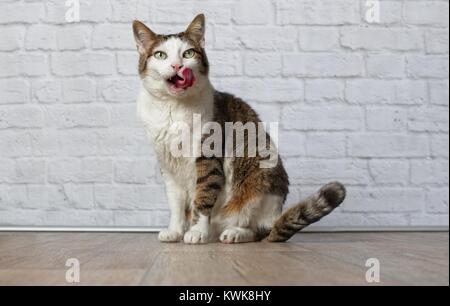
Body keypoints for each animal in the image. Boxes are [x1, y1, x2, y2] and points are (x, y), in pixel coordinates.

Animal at [132, 13, 346, 244]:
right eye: (160, 55)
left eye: (188, 53)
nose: (176, 66)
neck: (172, 108)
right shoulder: (168, 164)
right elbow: (176, 203)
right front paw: (174, 230)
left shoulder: (208, 158)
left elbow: (203, 196)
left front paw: (196, 231)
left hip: (260, 173)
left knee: (261, 230)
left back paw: (235, 232)